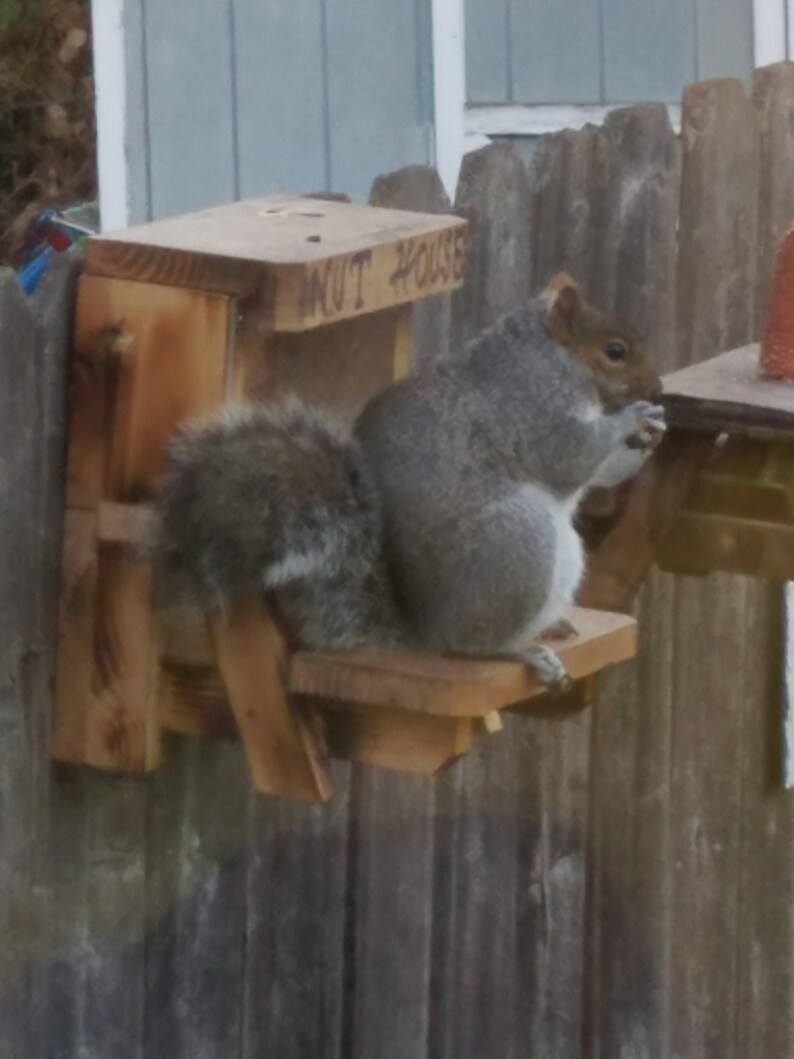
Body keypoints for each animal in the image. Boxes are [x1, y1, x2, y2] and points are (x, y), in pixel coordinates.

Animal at [151, 273, 664, 690]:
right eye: (614, 351)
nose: (657, 389)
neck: (547, 355)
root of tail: (423, 632)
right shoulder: (532, 408)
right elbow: (570, 454)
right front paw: (632, 420)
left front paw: (649, 438)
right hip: (516, 540)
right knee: (469, 644)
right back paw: (519, 649)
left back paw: (549, 627)